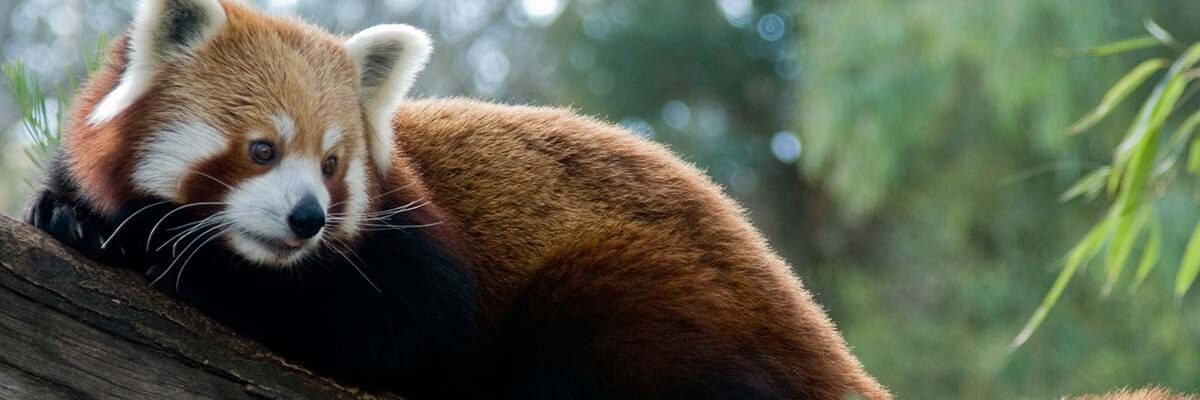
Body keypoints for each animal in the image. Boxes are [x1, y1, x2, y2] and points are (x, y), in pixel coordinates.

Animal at [23, 0, 897, 398]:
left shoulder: (413, 244)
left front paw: (159, 248)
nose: (307, 219)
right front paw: (70, 215)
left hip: (652, 293)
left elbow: (405, 324)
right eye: (262, 149)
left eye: (334, 165)